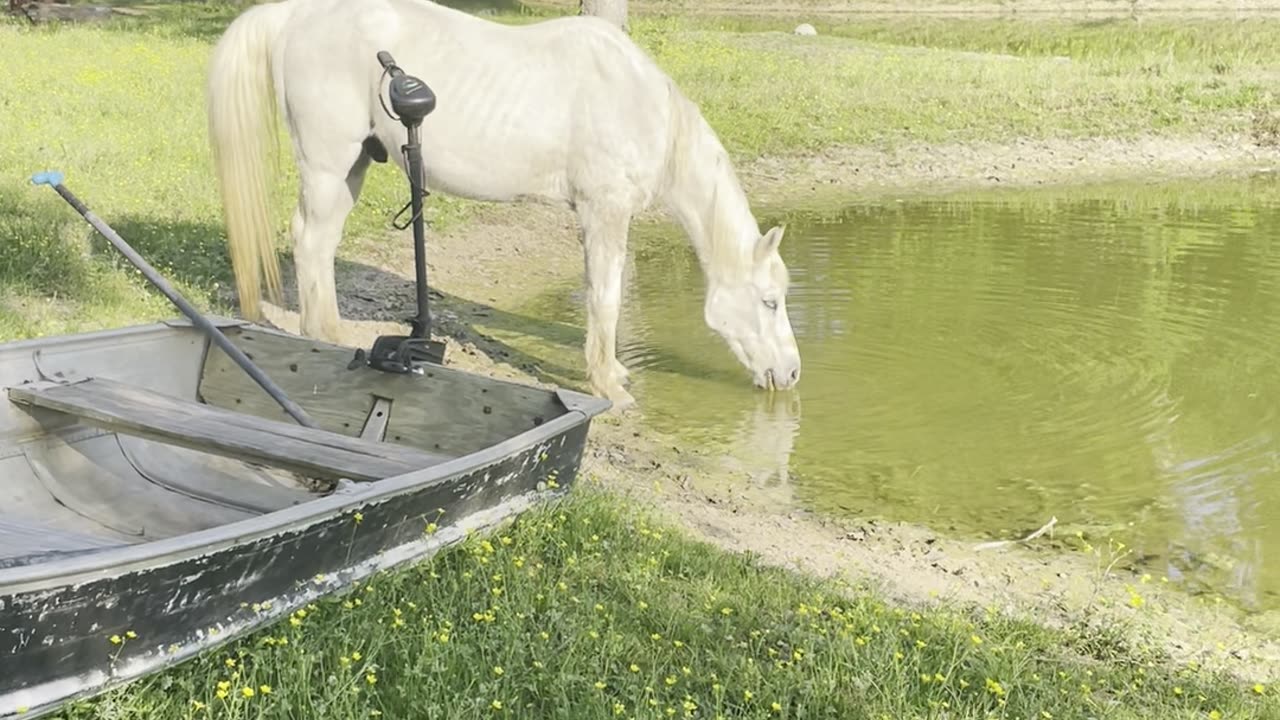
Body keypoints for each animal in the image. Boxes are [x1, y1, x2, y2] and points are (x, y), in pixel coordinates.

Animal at [205, 0, 802, 410]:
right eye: (770, 301)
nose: (793, 374)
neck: (636, 102)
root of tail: (295, 14)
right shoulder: (604, 212)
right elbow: (605, 299)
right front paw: (608, 384)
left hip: (352, 166)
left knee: (320, 244)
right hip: (329, 166)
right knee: (310, 240)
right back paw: (323, 338)